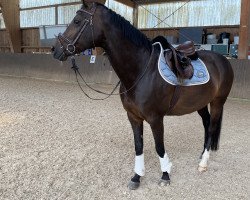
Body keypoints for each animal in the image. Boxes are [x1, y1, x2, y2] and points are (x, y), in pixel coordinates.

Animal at [51, 1, 234, 189]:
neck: (141, 71)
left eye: (77, 21)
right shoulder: (133, 117)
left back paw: (203, 163)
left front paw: (165, 175)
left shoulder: (155, 118)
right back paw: (201, 155)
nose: (55, 49)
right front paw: (136, 177)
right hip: (200, 103)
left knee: (211, 128)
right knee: (206, 124)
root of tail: (223, 60)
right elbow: (138, 146)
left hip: (218, 102)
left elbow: (159, 147)